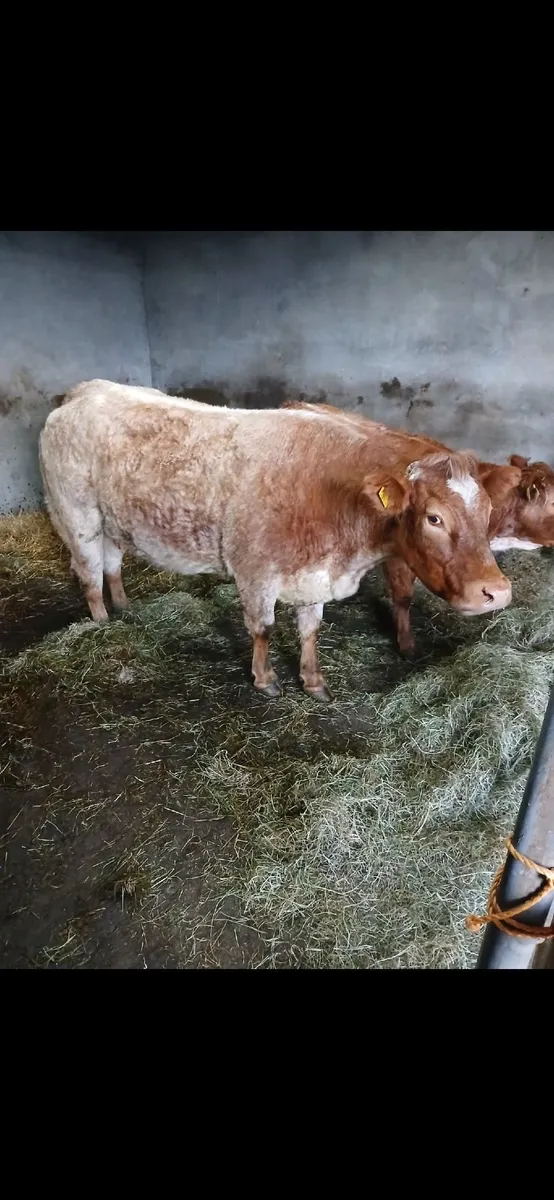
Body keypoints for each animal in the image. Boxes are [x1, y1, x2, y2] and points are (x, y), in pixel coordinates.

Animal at [38, 380, 512, 702]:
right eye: (434, 518)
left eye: (488, 513)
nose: (497, 592)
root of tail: (85, 391)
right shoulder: (254, 571)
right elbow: (262, 628)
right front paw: (265, 679)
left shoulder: (315, 576)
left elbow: (310, 629)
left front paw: (313, 680)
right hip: (77, 514)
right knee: (88, 573)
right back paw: (102, 623)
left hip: (113, 520)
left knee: (112, 563)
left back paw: (123, 606)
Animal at [283, 400, 554, 656]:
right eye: (434, 519)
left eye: (487, 510)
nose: (497, 592)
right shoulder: (396, 556)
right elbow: (403, 597)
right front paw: (407, 646)